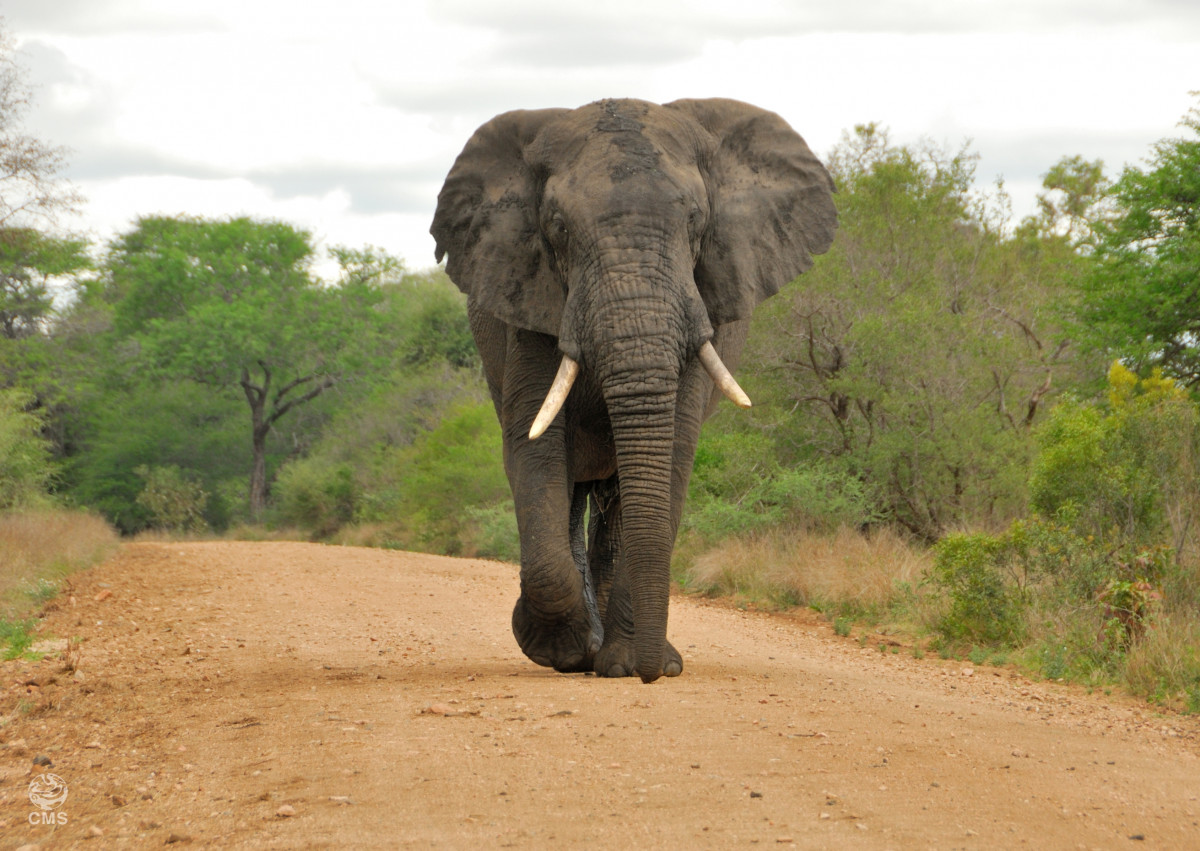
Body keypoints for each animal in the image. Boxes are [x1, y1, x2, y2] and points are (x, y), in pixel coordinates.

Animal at [431, 98, 837, 682]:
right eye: (557, 228)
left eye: (695, 221)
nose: (651, 675)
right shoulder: (530, 302)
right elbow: (535, 445)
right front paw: (560, 651)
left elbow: (673, 451)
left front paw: (631, 665)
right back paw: (585, 651)